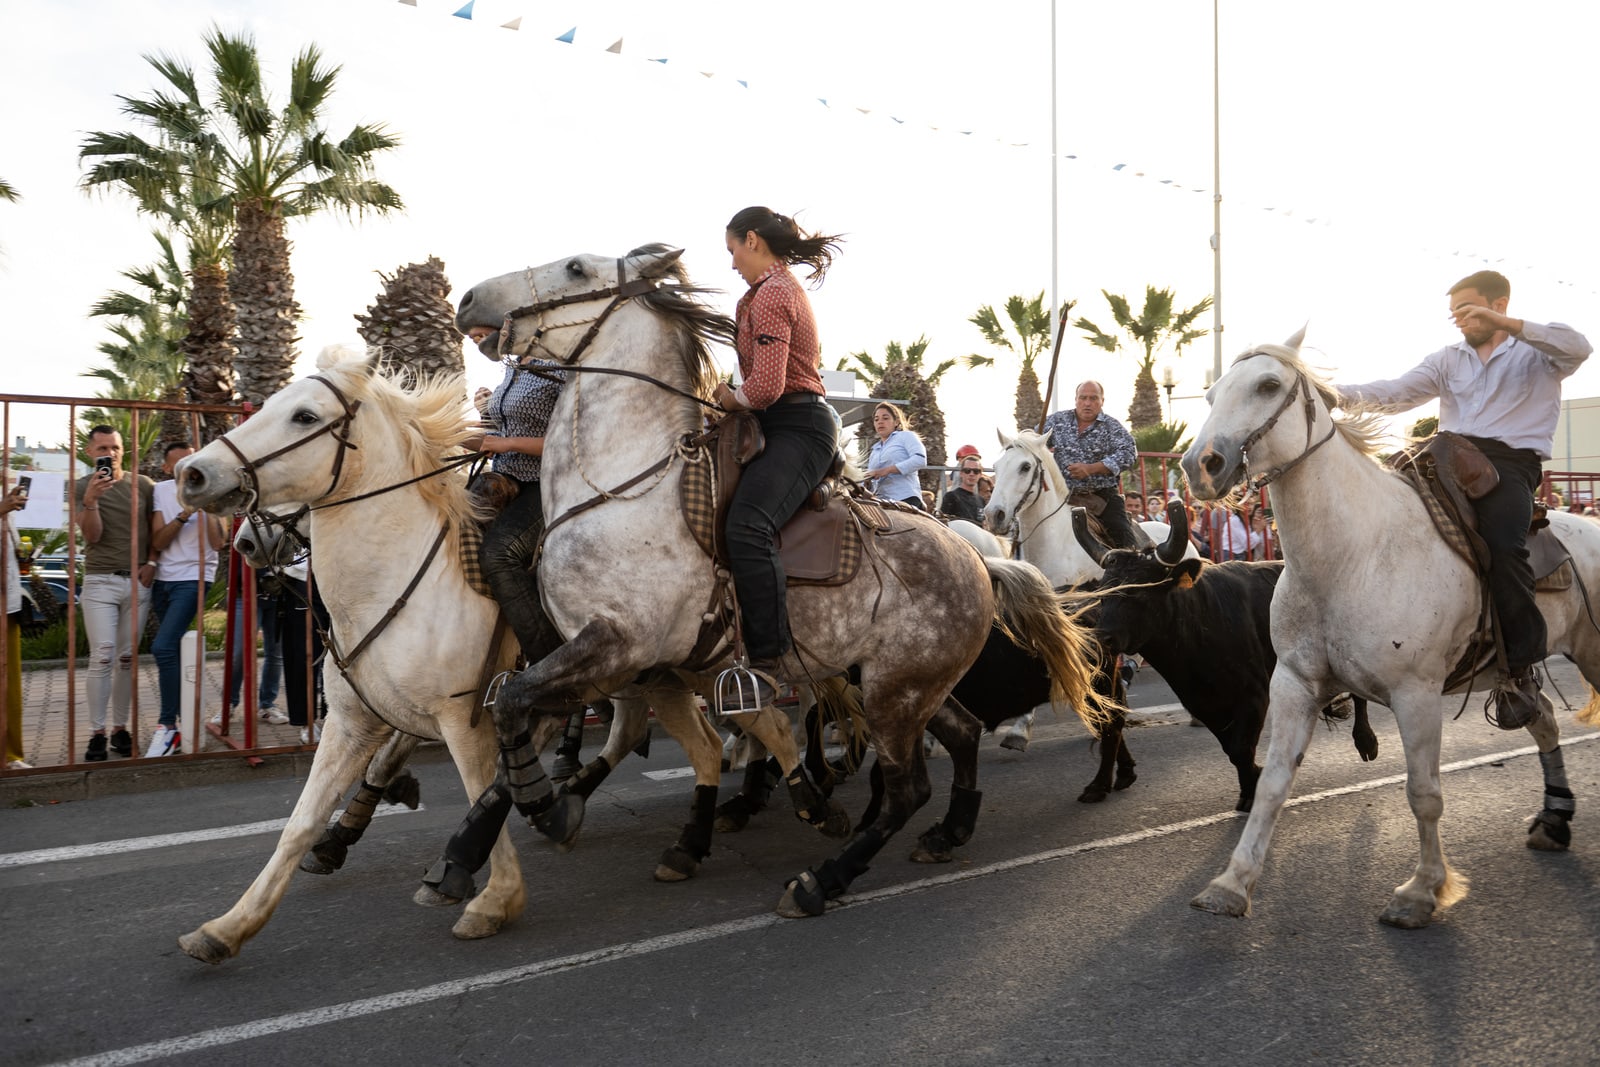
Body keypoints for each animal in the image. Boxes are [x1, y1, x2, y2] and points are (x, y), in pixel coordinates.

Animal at [1184, 331, 1593, 927]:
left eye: (1269, 385)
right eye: (1211, 393)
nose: (1201, 465)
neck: (1351, 555)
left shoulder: (1415, 694)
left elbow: (1424, 793)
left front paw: (1421, 892)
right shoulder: (1294, 684)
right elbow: (1272, 785)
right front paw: (1232, 883)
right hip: (1513, 674)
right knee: (1542, 722)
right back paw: (1555, 820)